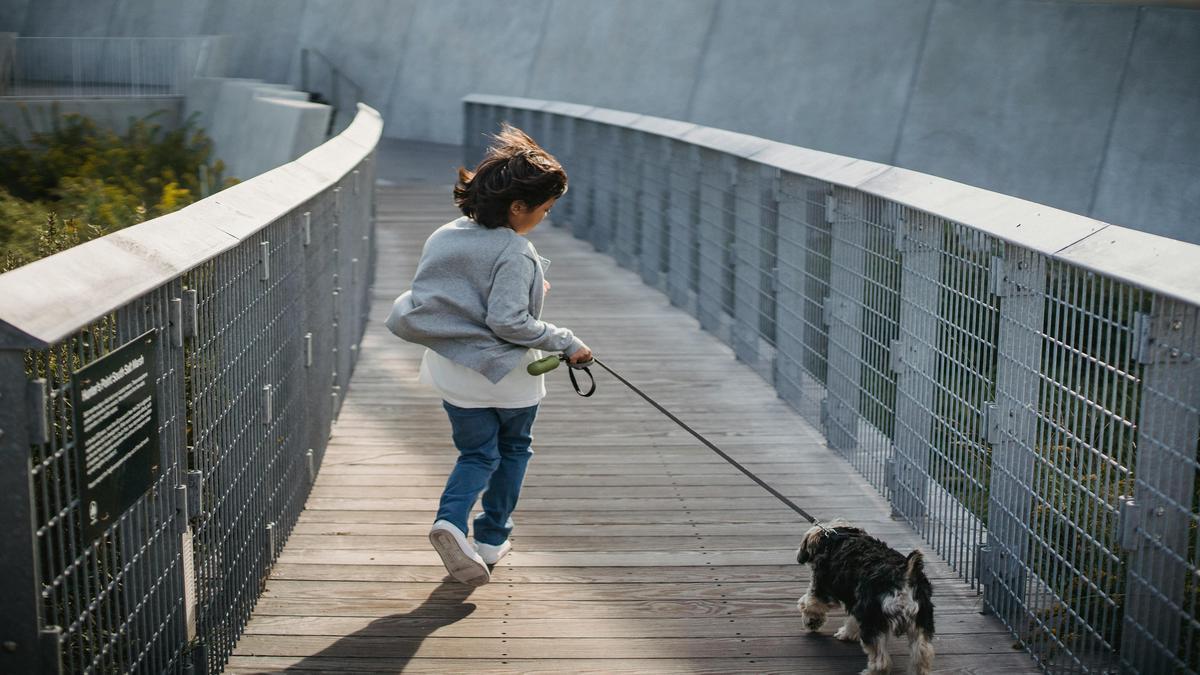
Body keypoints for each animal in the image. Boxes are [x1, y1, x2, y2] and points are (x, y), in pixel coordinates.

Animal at [796, 516, 936, 667]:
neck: (831, 536)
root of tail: (905, 575)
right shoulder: (856, 602)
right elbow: (853, 621)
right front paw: (847, 633)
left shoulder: (822, 590)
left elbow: (809, 604)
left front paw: (811, 621)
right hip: (921, 620)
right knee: (923, 653)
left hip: (873, 619)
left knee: (882, 661)